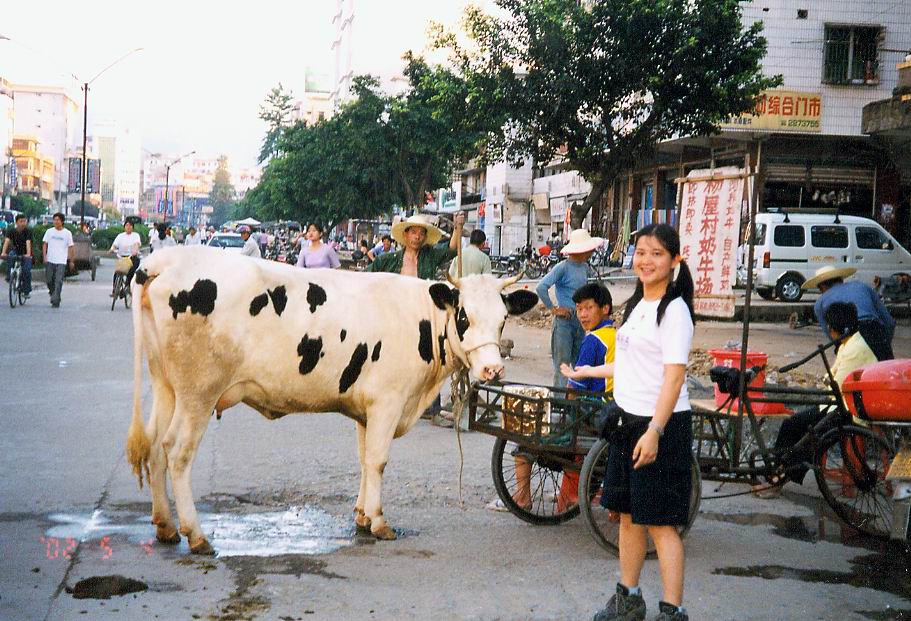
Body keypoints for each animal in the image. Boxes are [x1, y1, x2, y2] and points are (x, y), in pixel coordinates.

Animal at [124, 245, 536, 556]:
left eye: (503, 319)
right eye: (464, 316)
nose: (492, 369)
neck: (420, 319)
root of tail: (163, 261)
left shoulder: (366, 410)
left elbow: (365, 460)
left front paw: (361, 516)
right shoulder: (387, 402)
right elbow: (379, 460)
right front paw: (380, 522)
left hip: (167, 387)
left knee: (156, 448)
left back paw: (165, 526)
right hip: (198, 393)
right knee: (177, 452)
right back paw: (196, 535)